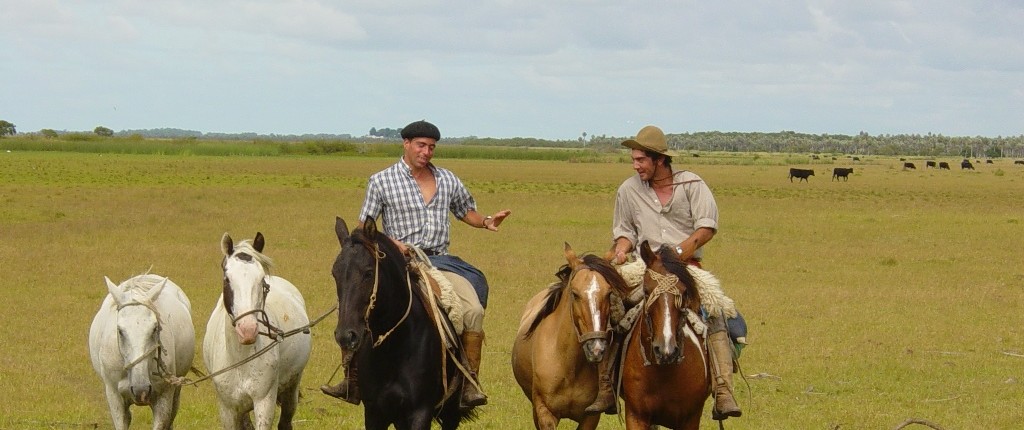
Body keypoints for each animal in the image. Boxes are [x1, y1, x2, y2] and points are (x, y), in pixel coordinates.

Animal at [202, 233, 307, 427]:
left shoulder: (264, 402)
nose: (248, 330)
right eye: (227, 279)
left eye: (262, 280)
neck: (240, 358)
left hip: (292, 388)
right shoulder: (228, 409)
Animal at [331, 218, 471, 430]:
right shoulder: (374, 412)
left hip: (451, 411)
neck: (394, 347)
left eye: (368, 273)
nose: (346, 336)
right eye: (335, 274)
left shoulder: (420, 412)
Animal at [512, 243, 630, 427]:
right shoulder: (545, 412)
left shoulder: (590, 417)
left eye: (609, 293)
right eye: (575, 294)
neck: (568, 365)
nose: (596, 349)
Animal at [618, 241, 708, 430]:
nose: (666, 350)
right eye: (646, 291)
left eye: (685, 293)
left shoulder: (690, 419)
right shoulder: (636, 416)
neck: (663, 372)